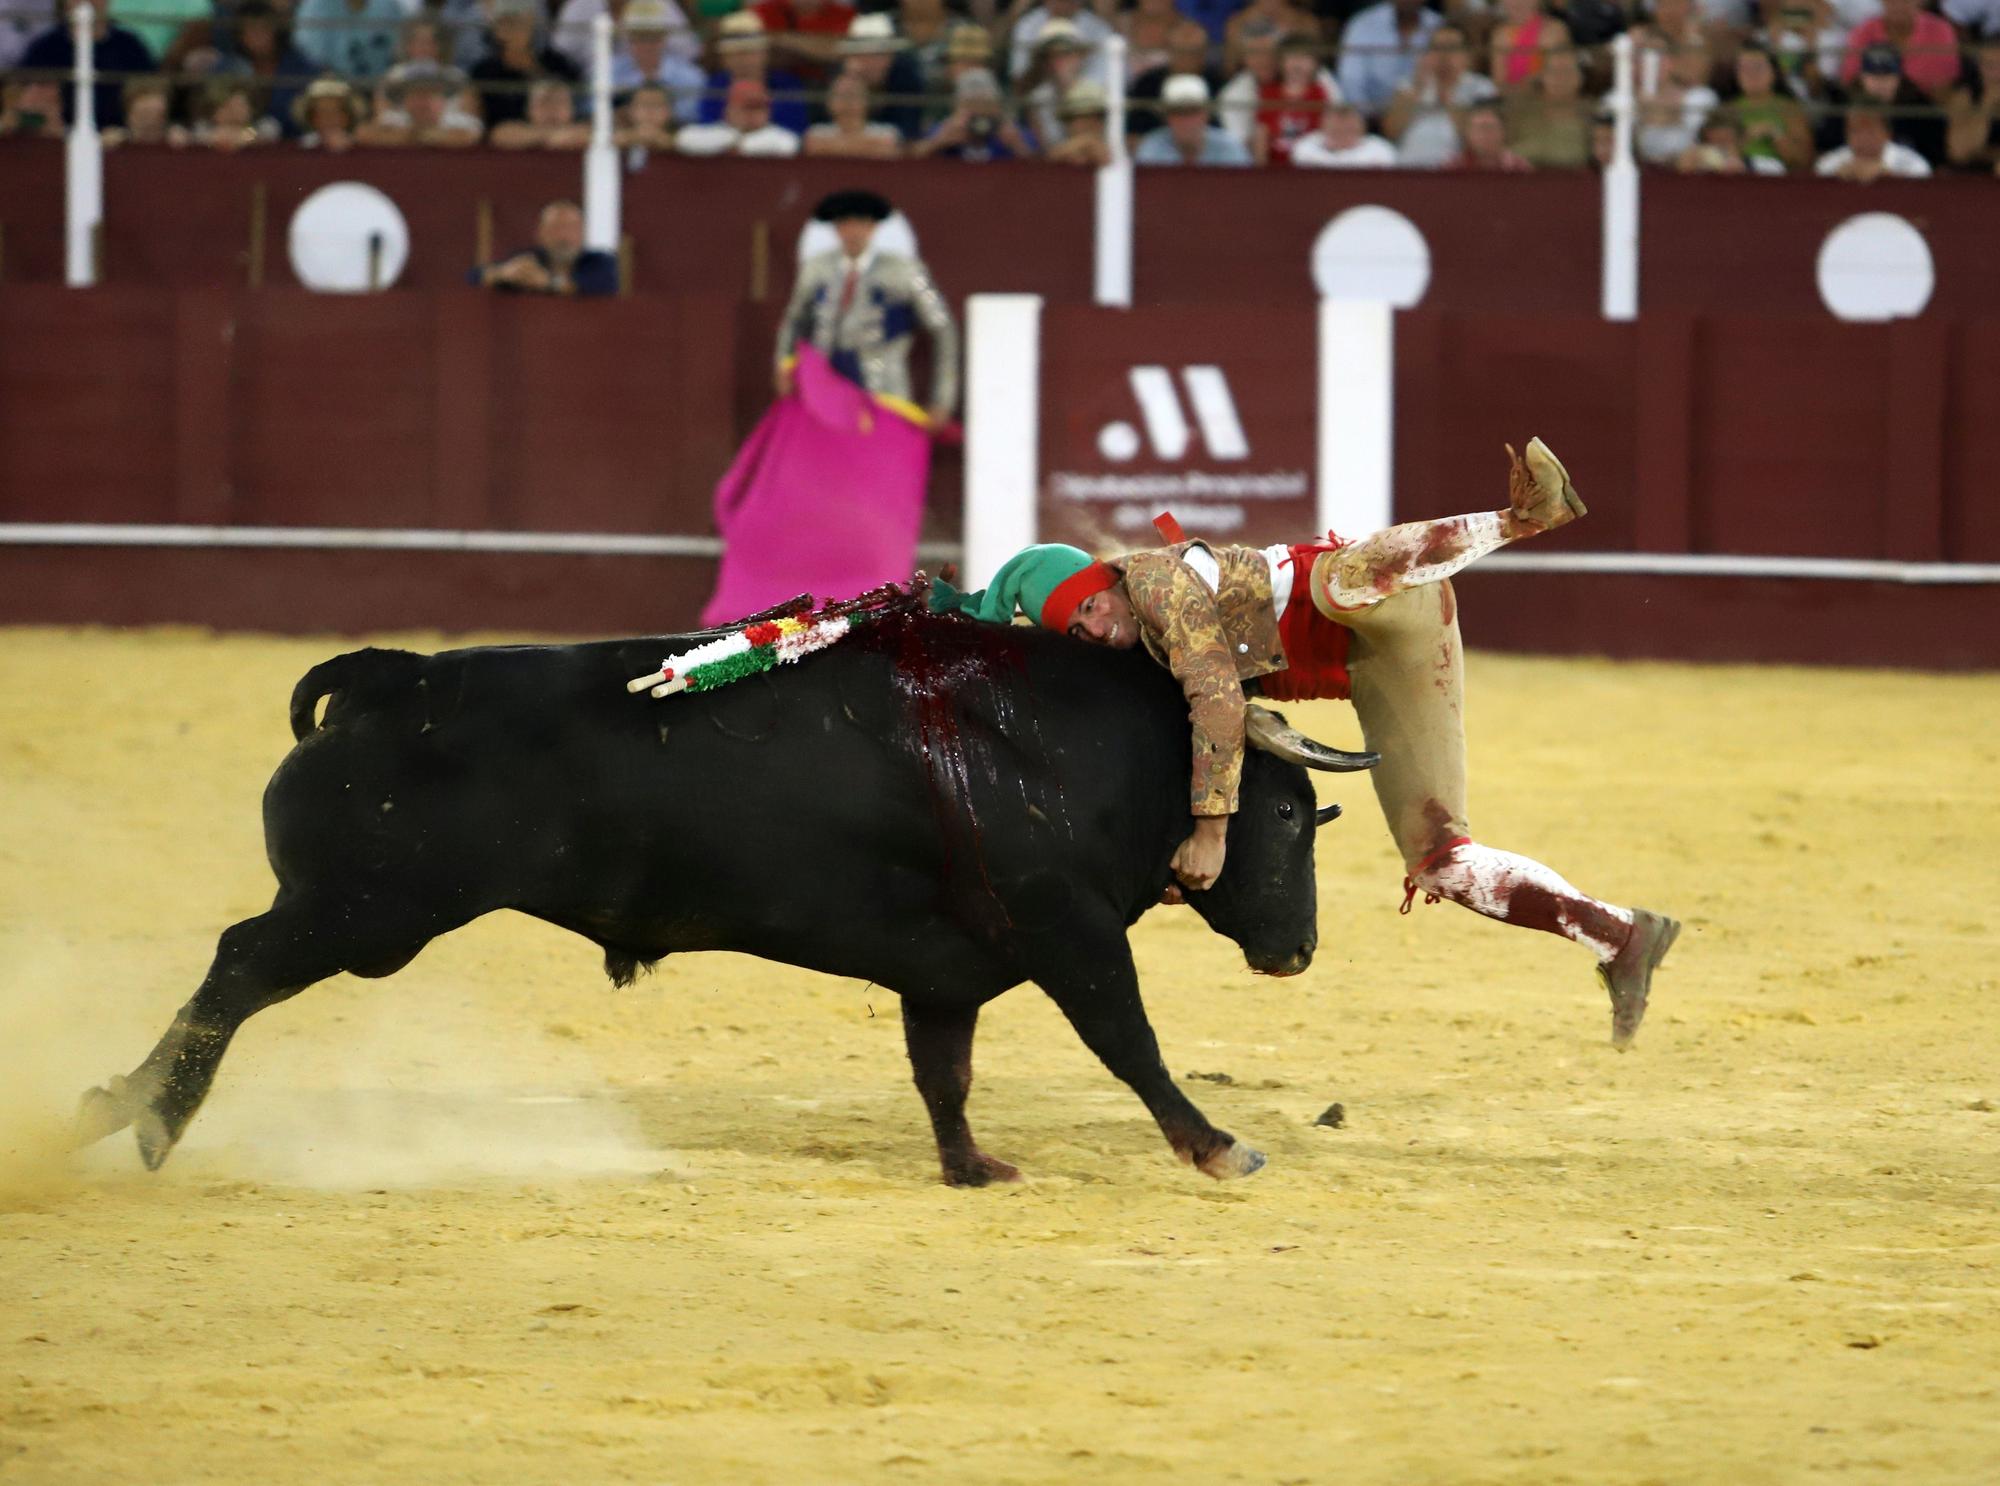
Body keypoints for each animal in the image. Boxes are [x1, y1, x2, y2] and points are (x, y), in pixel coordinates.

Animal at [78, 612, 1384, 1184]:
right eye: (1285, 818)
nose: (1298, 950)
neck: (1086, 748)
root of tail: (387, 679)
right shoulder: (1068, 932)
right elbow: (1130, 1039)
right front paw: (1218, 1147)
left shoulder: (947, 970)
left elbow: (944, 1072)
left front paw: (971, 1167)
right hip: (364, 913)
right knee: (238, 963)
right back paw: (144, 1117)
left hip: (360, 912)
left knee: (235, 966)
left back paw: (118, 1109)